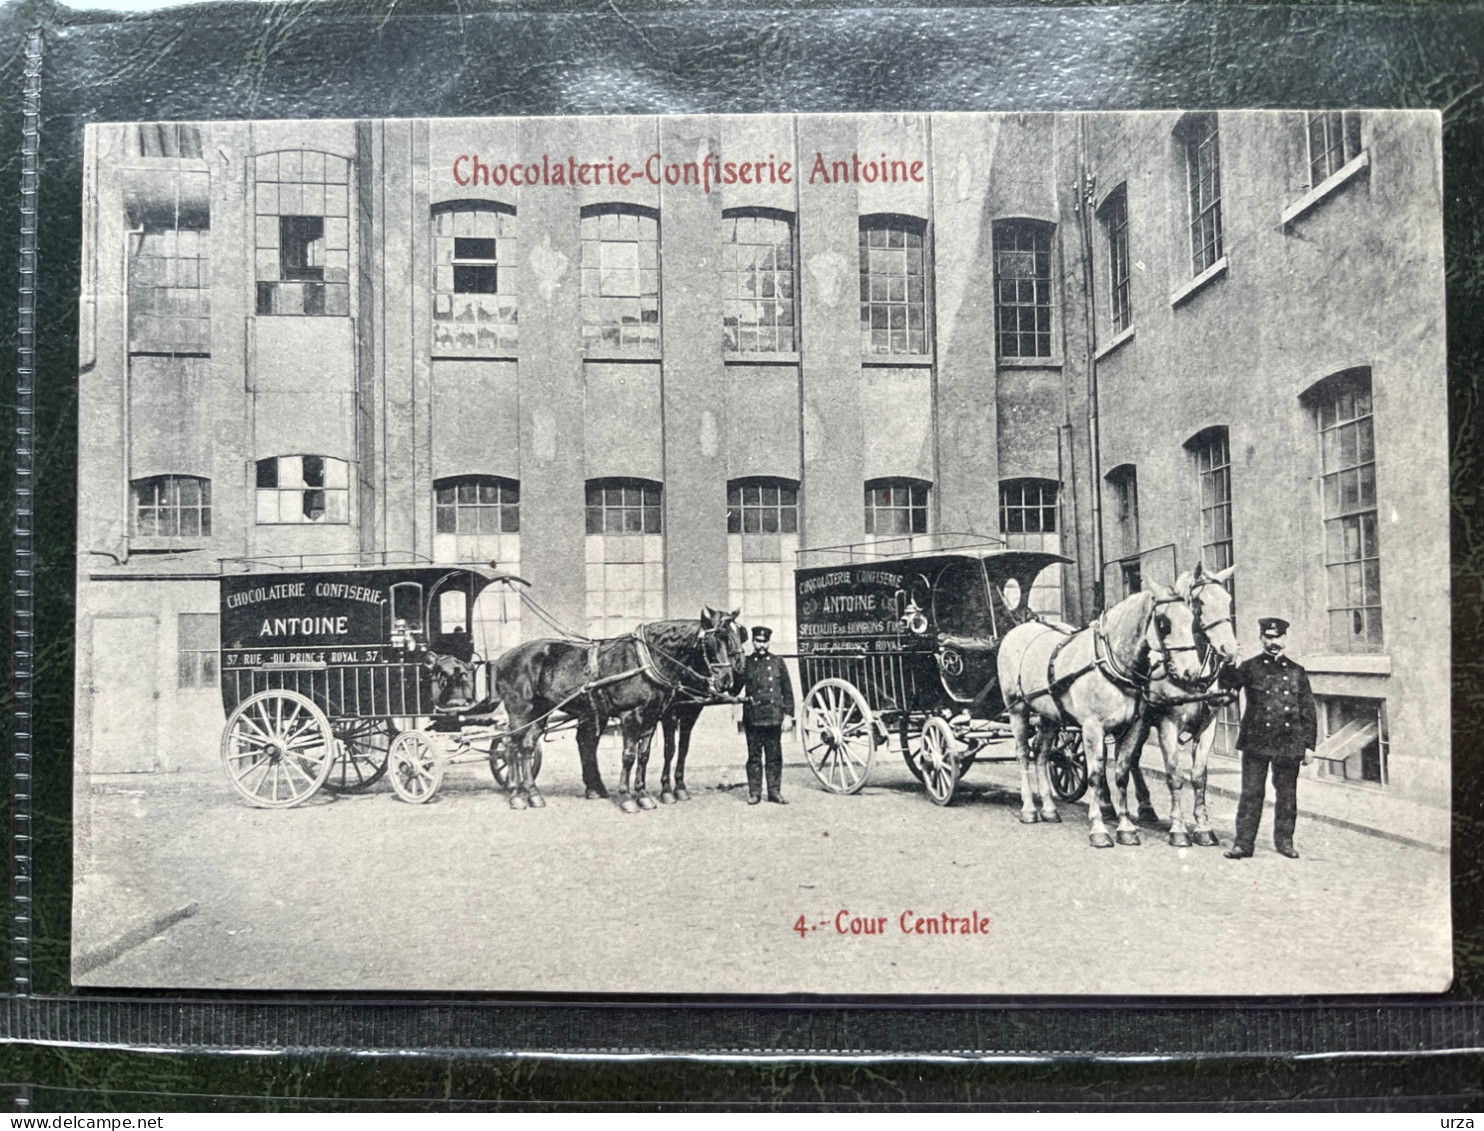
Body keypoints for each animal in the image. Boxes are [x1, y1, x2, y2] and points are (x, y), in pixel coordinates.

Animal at [486, 608, 747, 813]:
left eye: (738, 636)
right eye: (716, 639)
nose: (728, 678)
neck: (647, 660)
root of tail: (504, 657)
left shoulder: (653, 716)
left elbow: (645, 755)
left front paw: (643, 795)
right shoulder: (633, 715)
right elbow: (631, 755)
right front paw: (629, 797)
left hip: (542, 711)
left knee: (527, 748)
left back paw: (532, 793)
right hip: (520, 712)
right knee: (511, 748)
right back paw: (516, 794)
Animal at [997, 584, 1205, 843]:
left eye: (1193, 620)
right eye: (1163, 623)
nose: (1191, 672)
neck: (1110, 663)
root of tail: (1017, 630)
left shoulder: (1133, 727)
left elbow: (1122, 773)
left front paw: (1126, 828)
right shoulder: (1092, 727)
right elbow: (1095, 775)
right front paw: (1098, 829)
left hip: (1049, 716)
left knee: (1042, 754)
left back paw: (1049, 809)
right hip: (1017, 709)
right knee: (1024, 753)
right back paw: (1028, 809)